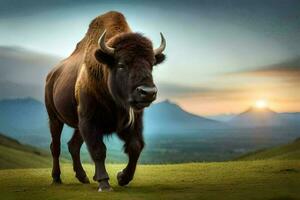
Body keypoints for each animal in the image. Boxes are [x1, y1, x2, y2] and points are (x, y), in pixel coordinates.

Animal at [44, 10, 166, 191]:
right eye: (122, 64)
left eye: (151, 64)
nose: (148, 92)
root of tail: (51, 76)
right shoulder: (89, 121)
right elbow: (98, 150)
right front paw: (104, 183)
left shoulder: (133, 121)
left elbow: (135, 146)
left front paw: (122, 177)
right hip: (54, 119)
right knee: (56, 146)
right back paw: (57, 178)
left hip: (77, 126)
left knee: (73, 145)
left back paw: (84, 177)